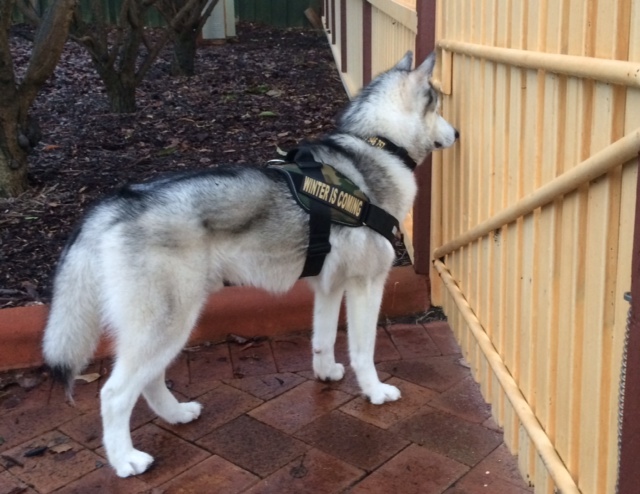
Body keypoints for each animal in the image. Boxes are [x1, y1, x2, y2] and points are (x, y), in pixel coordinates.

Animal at [42, 51, 458, 477]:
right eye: (438, 107)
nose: (458, 134)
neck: (376, 144)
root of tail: (115, 202)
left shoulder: (329, 286)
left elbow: (323, 339)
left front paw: (325, 374)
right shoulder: (366, 284)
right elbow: (363, 350)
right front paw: (374, 391)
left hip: (167, 327)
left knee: (150, 380)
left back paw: (176, 414)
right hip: (167, 324)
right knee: (115, 393)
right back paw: (125, 459)